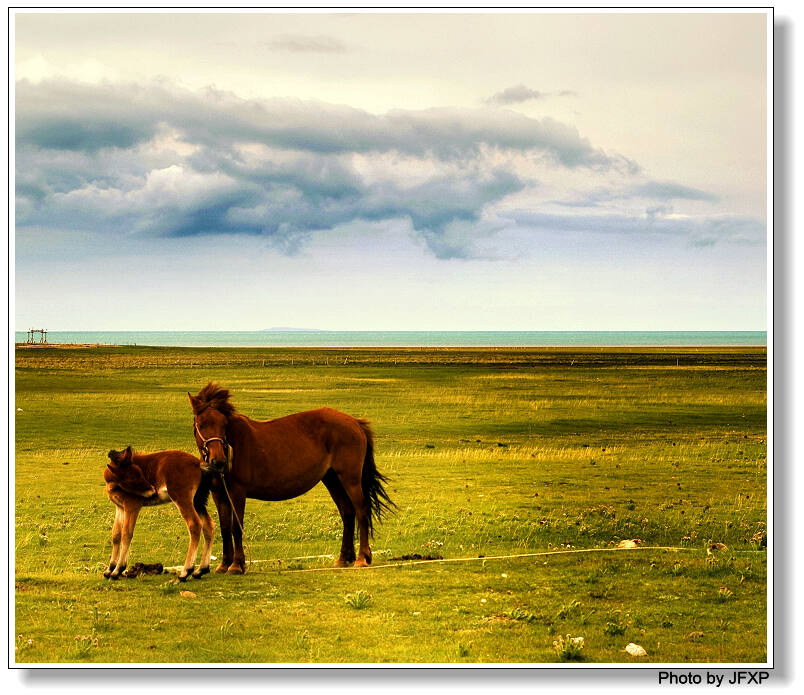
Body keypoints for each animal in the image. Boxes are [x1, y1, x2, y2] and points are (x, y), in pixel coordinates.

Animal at [103, 446, 214, 580]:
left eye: (140, 473)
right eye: (131, 478)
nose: (152, 491)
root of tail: (199, 464)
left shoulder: (132, 505)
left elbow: (126, 533)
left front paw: (118, 569)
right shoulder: (119, 507)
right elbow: (116, 535)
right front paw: (109, 569)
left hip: (182, 498)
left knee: (195, 524)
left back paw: (185, 572)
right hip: (198, 501)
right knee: (208, 525)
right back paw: (201, 570)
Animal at [186, 384, 392, 572]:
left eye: (223, 425)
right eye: (201, 424)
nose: (219, 460)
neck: (233, 442)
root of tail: (355, 422)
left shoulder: (237, 492)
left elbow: (236, 527)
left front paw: (237, 565)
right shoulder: (219, 494)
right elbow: (224, 528)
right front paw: (224, 564)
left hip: (350, 479)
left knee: (361, 510)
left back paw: (362, 558)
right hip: (332, 480)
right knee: (347, 513)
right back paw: (343, 558)